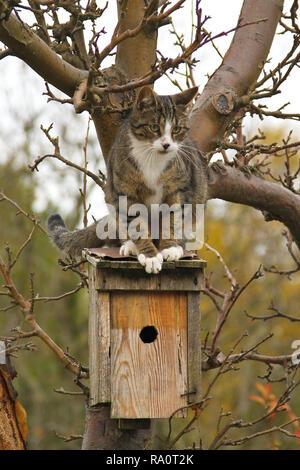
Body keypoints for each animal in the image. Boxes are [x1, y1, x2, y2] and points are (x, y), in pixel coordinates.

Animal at [47, 86, 206, 274]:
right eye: (154, 127)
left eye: (176, 129)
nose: (166, 144)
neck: (153, 159)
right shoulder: (125, 192)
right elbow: (137, 224)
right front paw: (150, 256)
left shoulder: (177, 189)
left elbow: (172, 219)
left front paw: (170, 248)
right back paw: (130, 246)